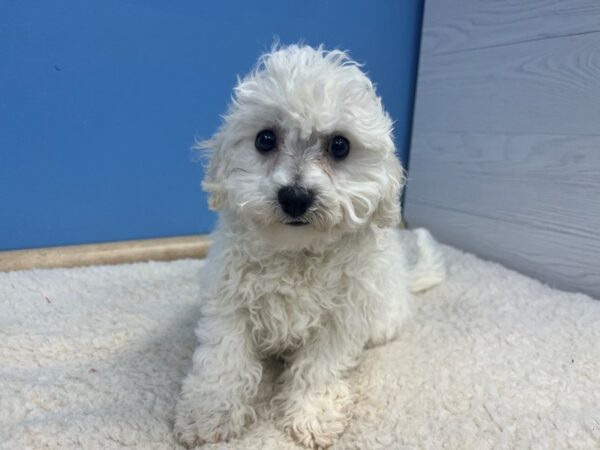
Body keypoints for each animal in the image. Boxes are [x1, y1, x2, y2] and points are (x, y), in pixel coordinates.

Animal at [173, 44, 446, 448]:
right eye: (265, 139)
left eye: (340, 146)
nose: (295, 197)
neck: (296, 255)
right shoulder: (229, 301)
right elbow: (224, 357)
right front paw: (208, 412)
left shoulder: (343, 315)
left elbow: (320, 366)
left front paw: (312, 413)